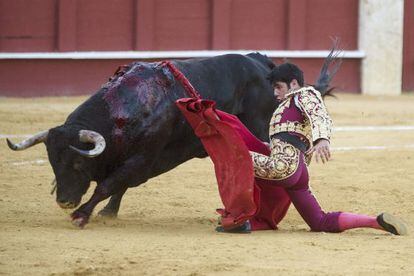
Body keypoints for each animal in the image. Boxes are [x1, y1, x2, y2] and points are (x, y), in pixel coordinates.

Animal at [5, 50, 340, 227]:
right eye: (52, 162)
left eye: (77, 163)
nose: (64, 200)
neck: (123, 110)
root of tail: (262, 62)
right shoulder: (143, 160)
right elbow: (120, 183)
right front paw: (109, 212)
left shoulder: (144, 157)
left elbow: (109, 183)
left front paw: (82, 214)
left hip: (262, 134)